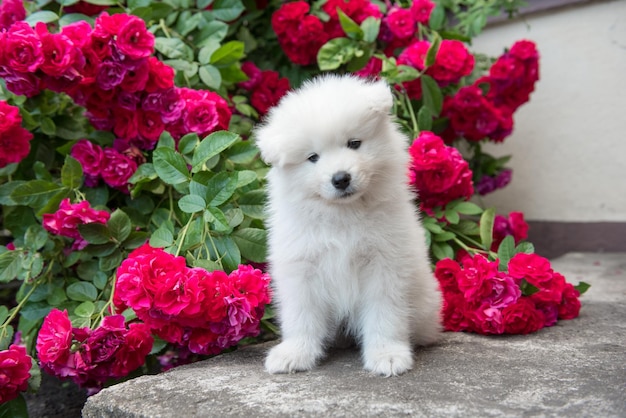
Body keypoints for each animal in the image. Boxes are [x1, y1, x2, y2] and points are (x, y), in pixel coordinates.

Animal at [252, 73, 438, 378]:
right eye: (313, 157)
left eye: (354, 143)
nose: (341, 178)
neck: (343, 215)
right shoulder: (301, 268)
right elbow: (301, 315)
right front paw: (295, 353)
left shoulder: (384, 265)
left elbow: (384, 313)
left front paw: (387, 355)